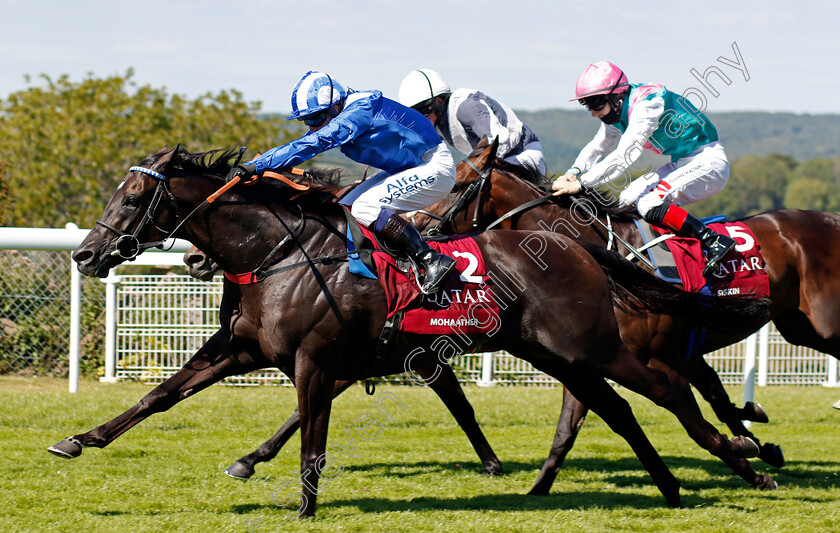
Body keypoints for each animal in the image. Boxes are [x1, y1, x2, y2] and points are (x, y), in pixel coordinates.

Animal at [54, 145, 776, 516]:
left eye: (131, 198)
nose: (86, 254)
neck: (281, 253)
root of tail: (575, 245)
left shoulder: (317, 360)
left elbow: (312, 438)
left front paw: (304, 507)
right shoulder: (240, 348)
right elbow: (159, 396)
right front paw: (78, 439)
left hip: (592, 345)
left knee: (669, 394)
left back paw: (747, 460)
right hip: (554, 352)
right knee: (618, 410)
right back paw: (669, 486)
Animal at [414, 138, 840, 494]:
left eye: (456, 186)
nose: (418, 227)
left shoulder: (660, 360)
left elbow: (694, 419)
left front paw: (750, 458)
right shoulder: (591, 359)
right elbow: (567, 431)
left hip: (824, 326)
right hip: (799, 328)